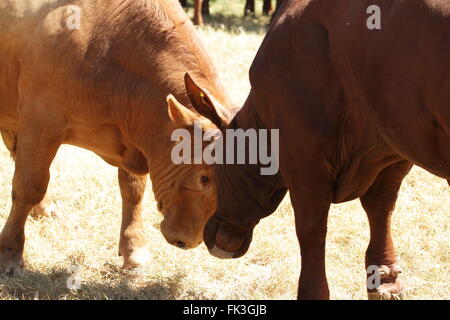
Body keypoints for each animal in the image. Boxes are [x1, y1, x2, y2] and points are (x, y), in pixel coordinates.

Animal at [181, 0, 448, 300]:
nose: (213, 233)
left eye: (213, 170)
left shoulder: (302, 151)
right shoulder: (391, 150)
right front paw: (386, 280)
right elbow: (381, 206)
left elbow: (311, 227)